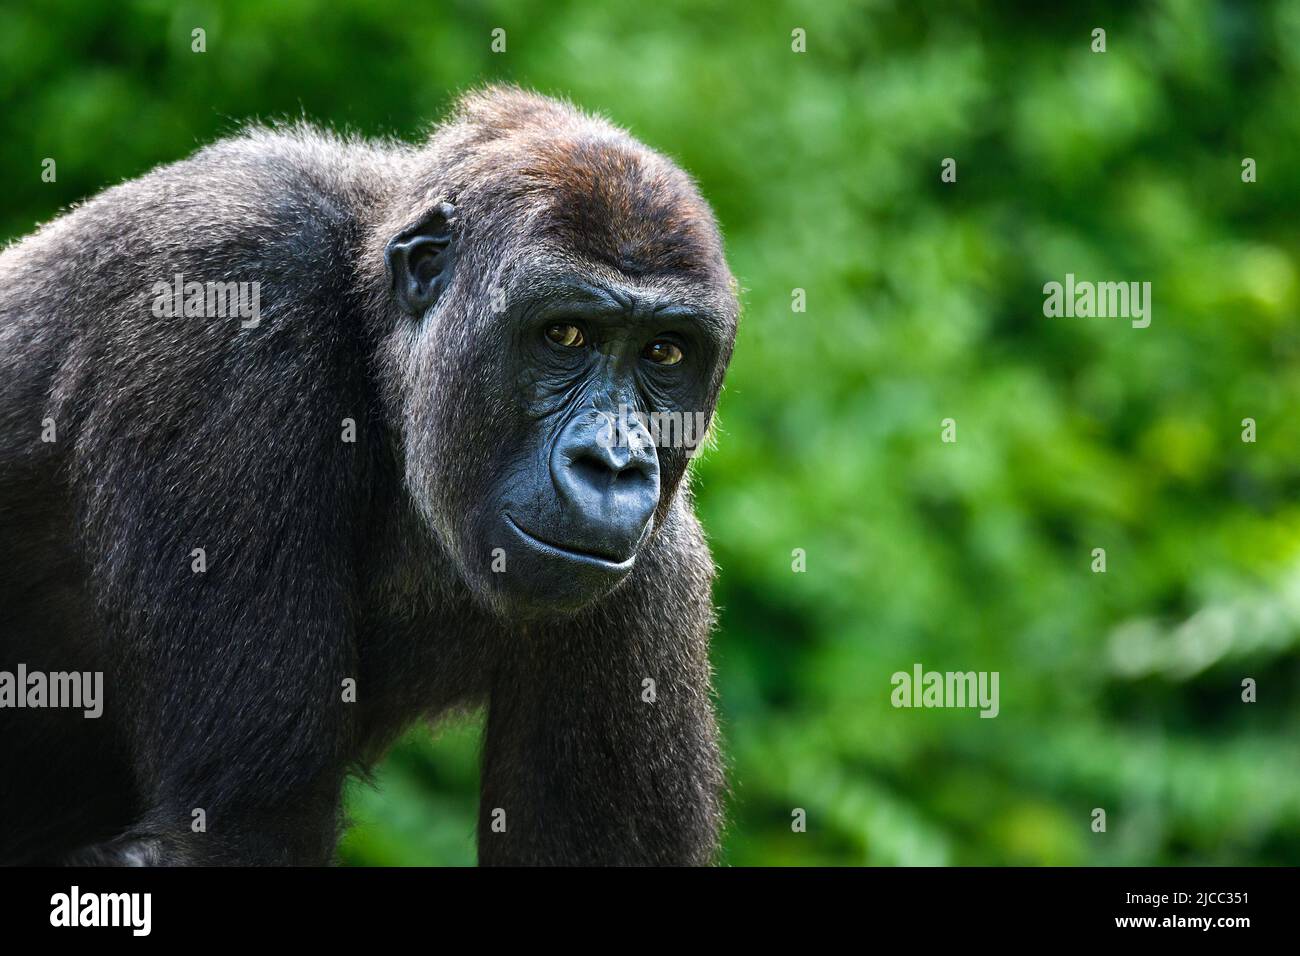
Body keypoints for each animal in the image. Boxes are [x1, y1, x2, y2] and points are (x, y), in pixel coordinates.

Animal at [0, 87, 738, 868]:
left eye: (664, 352)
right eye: (564, 334)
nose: (616, 465)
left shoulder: (655, 579)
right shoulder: (228, 287)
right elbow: (237, 832)